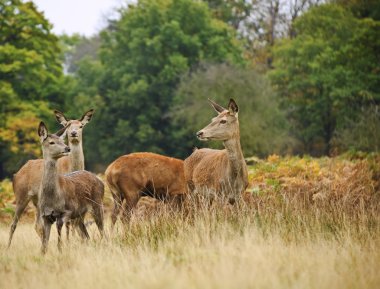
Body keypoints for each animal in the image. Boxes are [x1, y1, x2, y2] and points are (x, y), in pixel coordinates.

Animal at [7, 109, 94, 246]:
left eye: (81, 126)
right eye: (68, 125)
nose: (73, 133)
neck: (69, 167)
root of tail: (17, 174)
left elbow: (75, 222)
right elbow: (68, 223)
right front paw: (68, 242)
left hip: (37, 202)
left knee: (37, 225)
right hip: (21, 195)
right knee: (14, 224)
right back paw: (8, 247)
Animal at [36, 121, 104, 252]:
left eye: (62, 140)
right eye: (51, 142)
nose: (67, 148)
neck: (52, 198)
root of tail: (100, 181)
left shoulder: (67, 210)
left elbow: (59, 235)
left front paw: (61, 250)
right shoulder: (45, 216)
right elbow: (44, 245)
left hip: (97, 204)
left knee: (102, 230)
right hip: (80, 214)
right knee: (86, 235)